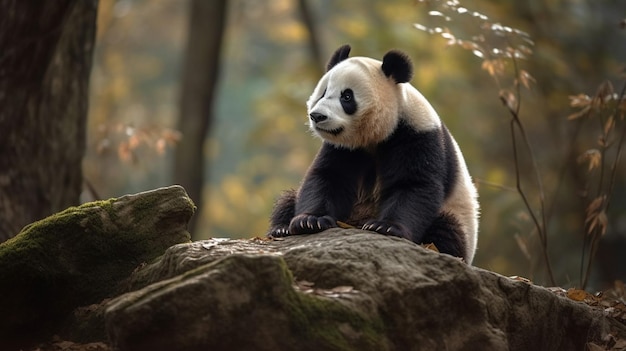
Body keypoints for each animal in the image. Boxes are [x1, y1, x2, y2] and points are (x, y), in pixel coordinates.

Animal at [266, 44, 478, 264]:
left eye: (347, 96)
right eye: (323, 92)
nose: (317, 116)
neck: (374, 136)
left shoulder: (418, 136)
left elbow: (413, 184)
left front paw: (385, 227)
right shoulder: (341, 148)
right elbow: (327, 176)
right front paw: (310, 220)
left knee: (447, 229)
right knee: (288, 198)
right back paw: (281, 229)